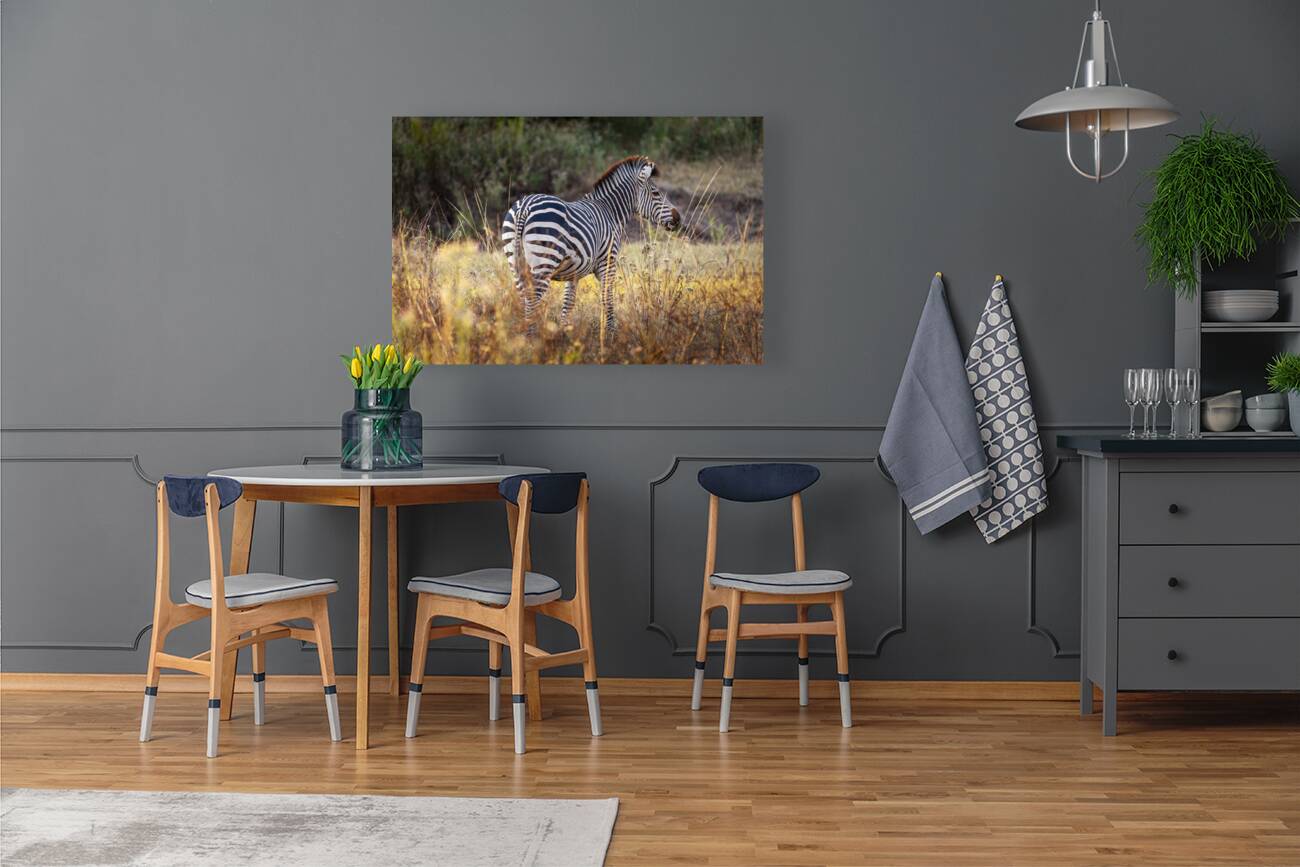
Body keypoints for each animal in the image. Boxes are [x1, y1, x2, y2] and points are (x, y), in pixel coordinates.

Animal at [501, 155, 681, 334]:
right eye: (656, 193)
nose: (678, 218)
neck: (610, 212)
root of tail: (525, 207)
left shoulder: (573, 273)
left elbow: (568, 303)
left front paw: (565, 333)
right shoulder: (607, 263)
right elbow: (607, 298)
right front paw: (610, 334)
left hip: (515, 262)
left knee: (524, 299)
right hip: (544, 262)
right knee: (532, 302)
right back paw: (533, 338)